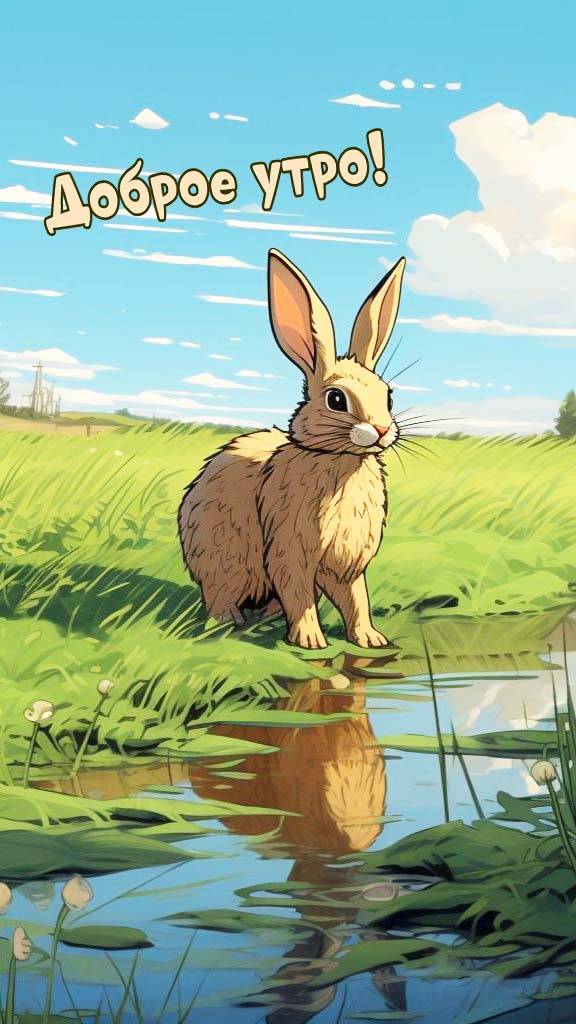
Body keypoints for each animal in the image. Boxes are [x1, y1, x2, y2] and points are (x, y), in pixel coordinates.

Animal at [178, 247, 405, 649]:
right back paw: (230, 620)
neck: (339, 463)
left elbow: (357, 599)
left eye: (388, 395)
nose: (381, 429)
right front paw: (311, 641)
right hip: (224, 560)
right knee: (222, 596)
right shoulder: (290, 548)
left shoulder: (347, 563)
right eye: (336, 399)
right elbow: (298, 593)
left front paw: (370, 638)